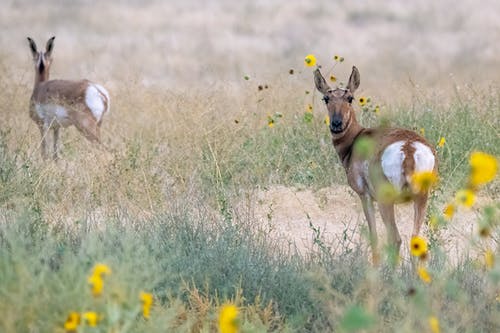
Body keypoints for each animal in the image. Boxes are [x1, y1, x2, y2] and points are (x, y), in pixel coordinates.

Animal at [314, 67, 436, 264]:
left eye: (350, 98)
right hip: (421, 198)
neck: (357, 137)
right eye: (326, 98)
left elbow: (374, 237)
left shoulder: (365, 196)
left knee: (395, 239)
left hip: (387, 202)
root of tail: (408, 147)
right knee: (415, 240)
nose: (336, 124)